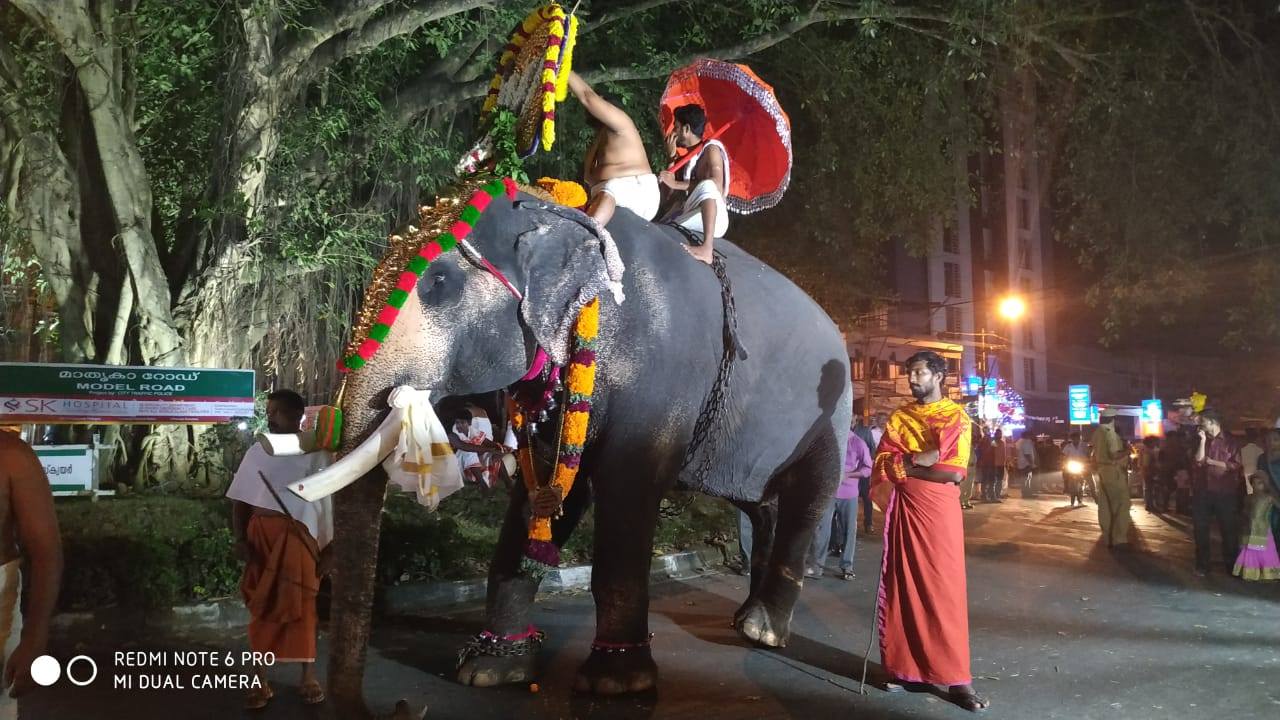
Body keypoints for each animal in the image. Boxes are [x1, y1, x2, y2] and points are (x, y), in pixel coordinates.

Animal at [291, 178, 849, 707]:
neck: (558, 212)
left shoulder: (658, 380)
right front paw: (492, 669)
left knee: (806, 501)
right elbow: (546, 497)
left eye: (440, 284)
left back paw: (763, 630)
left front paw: (616, 684)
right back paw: (745, 619)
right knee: (761, 507)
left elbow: (626, 495)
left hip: (832, 418)